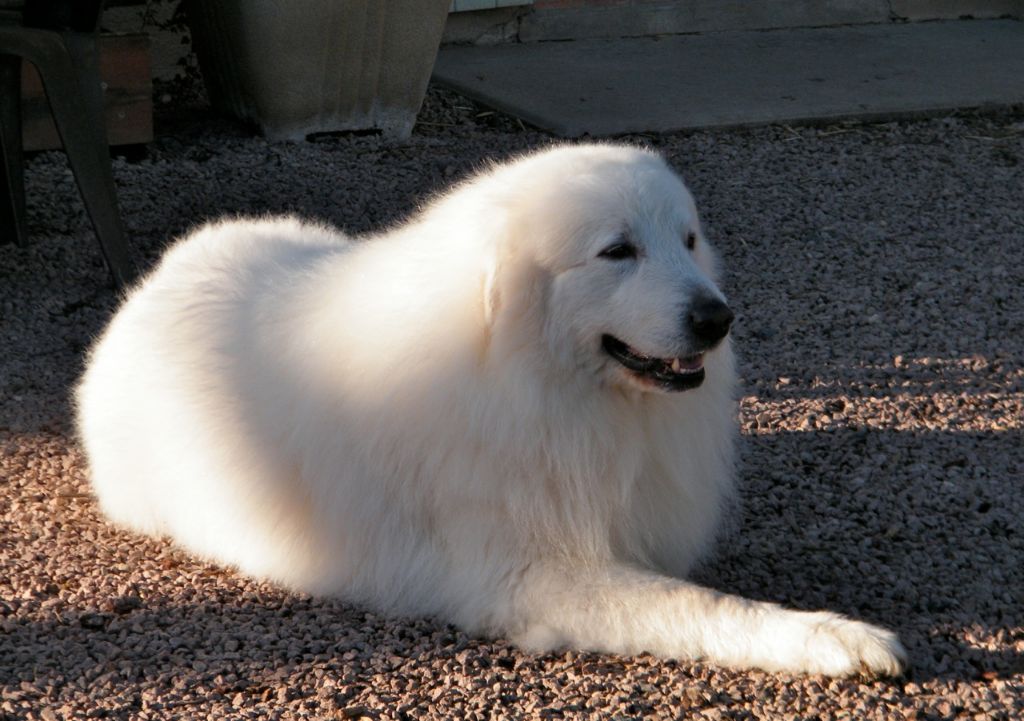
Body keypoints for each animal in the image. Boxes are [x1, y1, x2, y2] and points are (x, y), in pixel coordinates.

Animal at [74, 145, 905, 675]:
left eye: (688, 240)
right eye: (617, 251)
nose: (718, 318)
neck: (528, 380)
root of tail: (156, 278)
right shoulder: (532, 575)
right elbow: (699, 606)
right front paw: (832, 636)